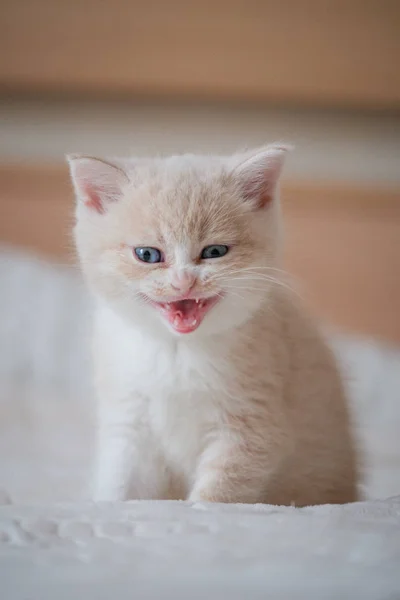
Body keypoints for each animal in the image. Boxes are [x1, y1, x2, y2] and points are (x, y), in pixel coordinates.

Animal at [67, 145, 358, 506]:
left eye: (214, 251)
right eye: (147, 254)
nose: (183, 281)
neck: (175, 352)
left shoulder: (251, 426)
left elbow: (218, 494)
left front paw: (198, 508)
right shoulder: (128, 419)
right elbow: (120, 484)